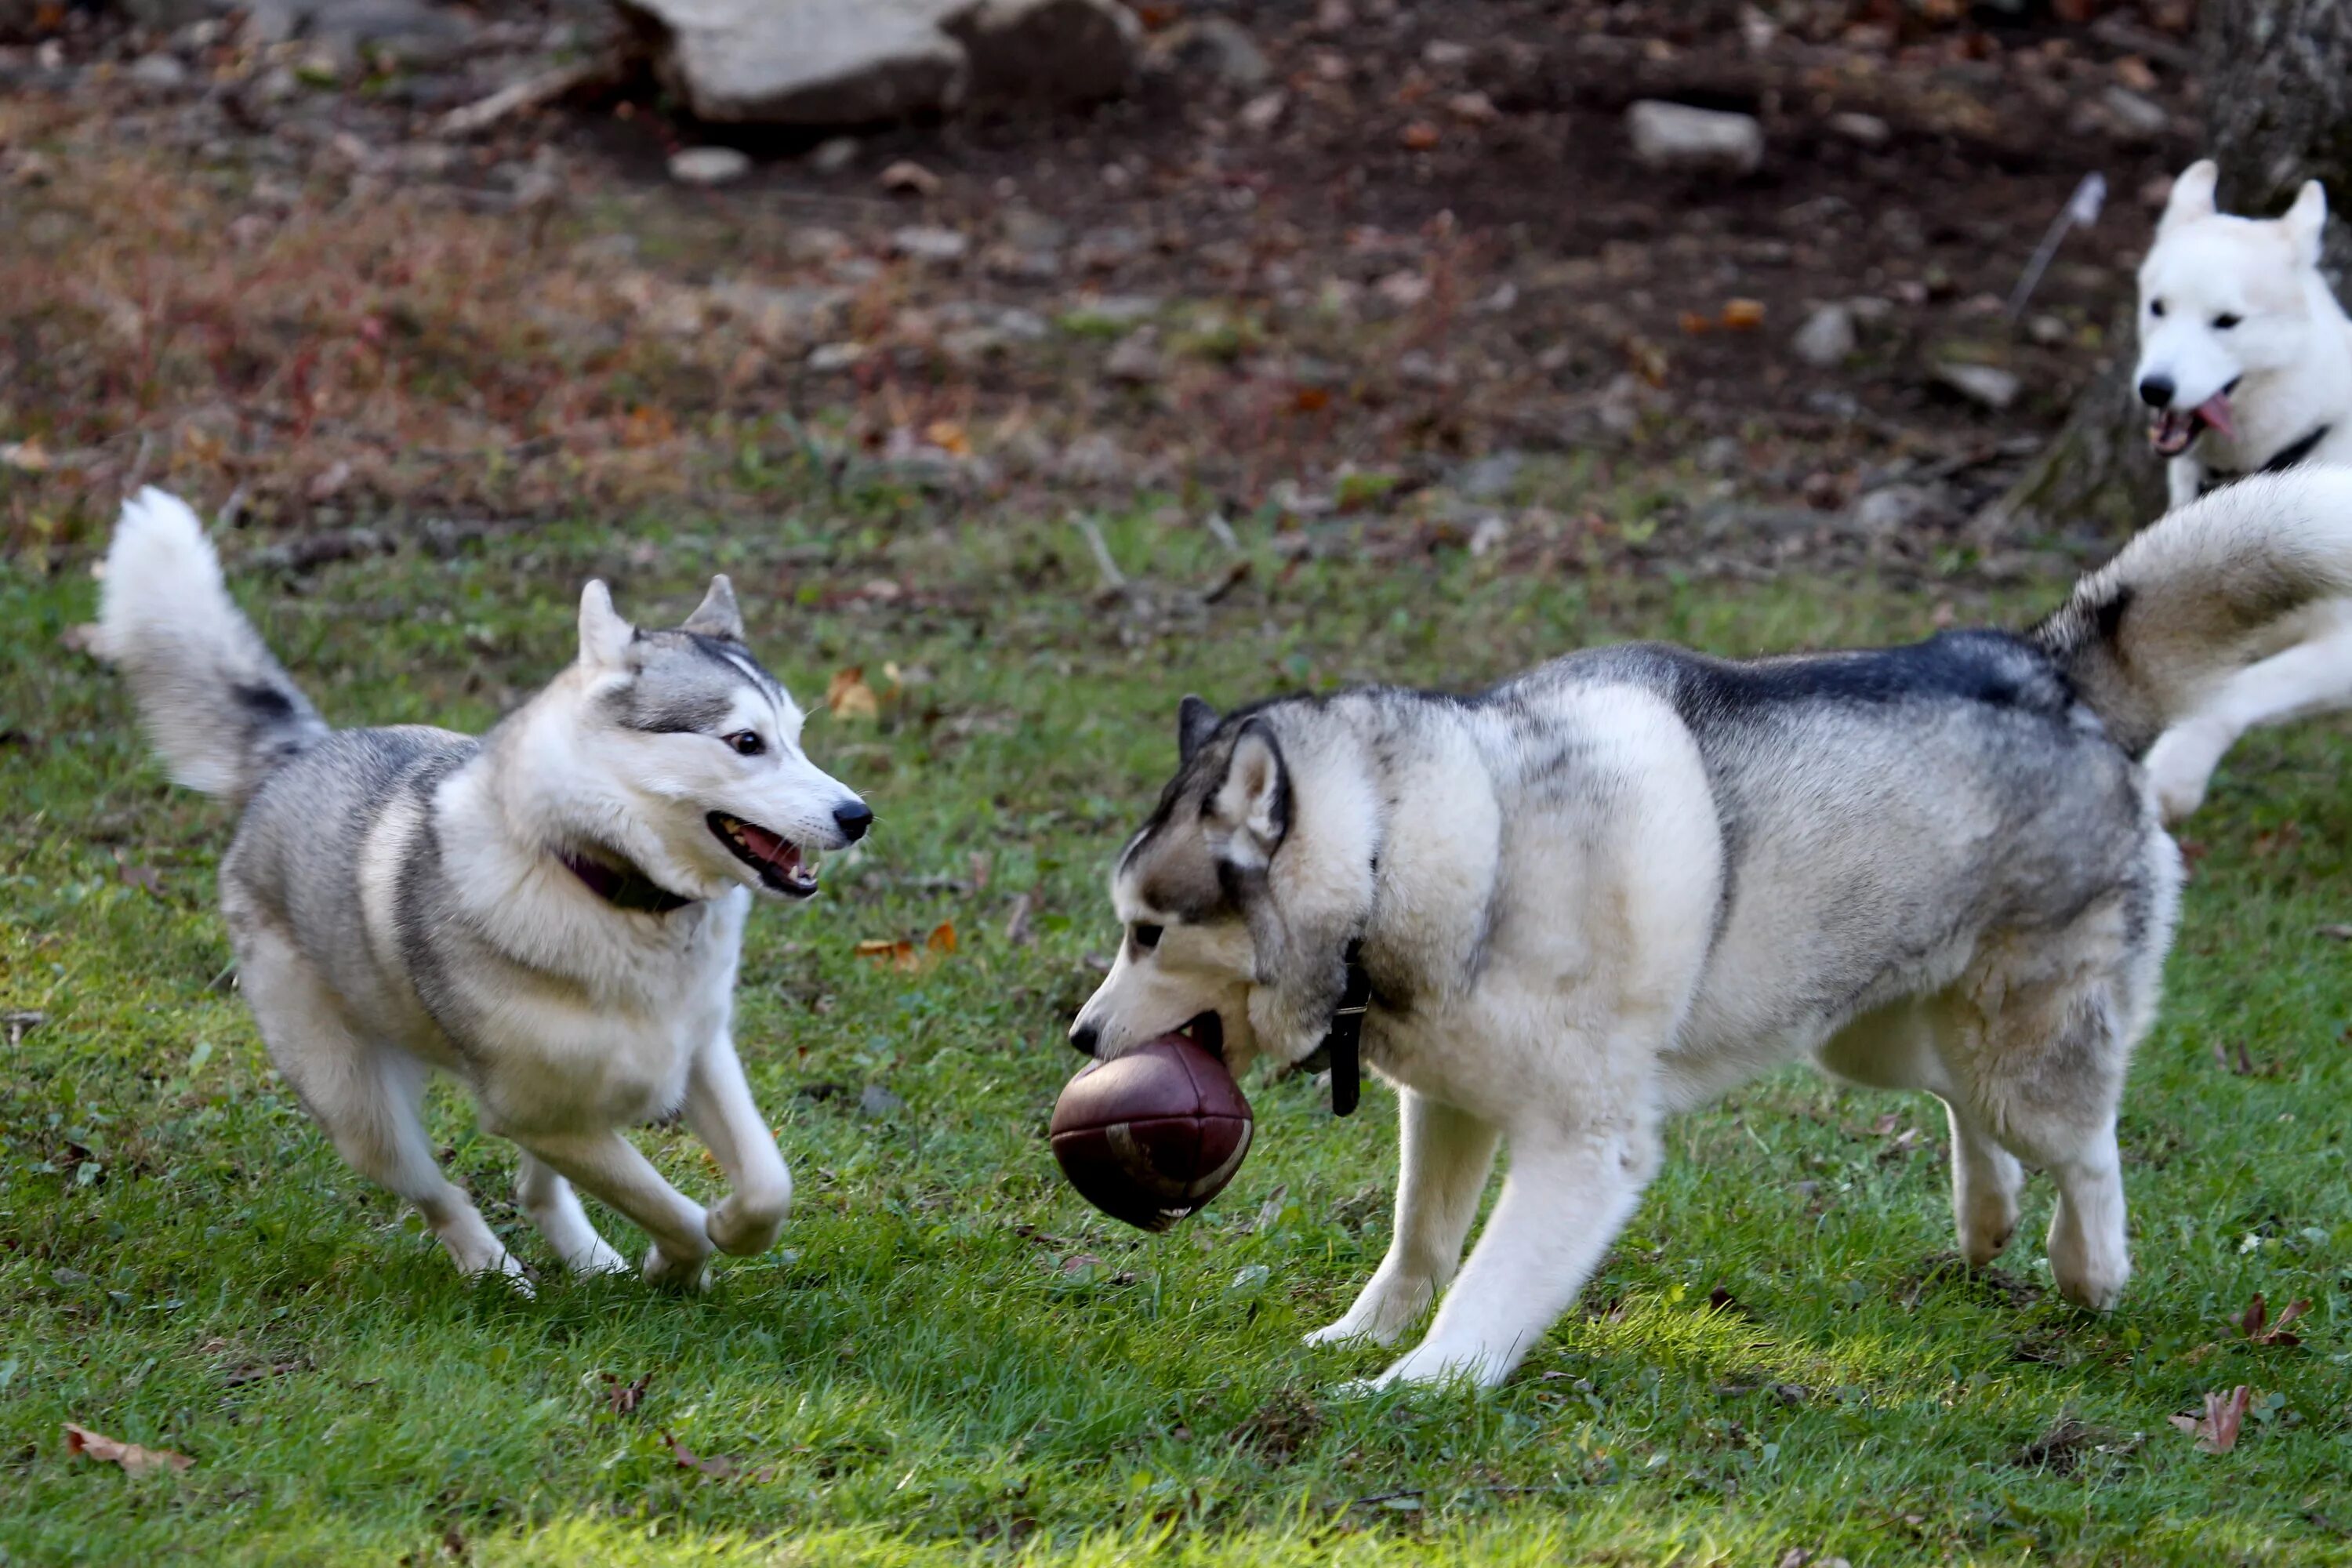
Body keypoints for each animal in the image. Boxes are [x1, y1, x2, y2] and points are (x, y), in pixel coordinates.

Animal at [99, 491, 875, 1288]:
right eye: (746, 743)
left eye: (797, 736)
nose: (859, 816)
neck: (605, 887)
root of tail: (301, 755)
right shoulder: (534, 1115)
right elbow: (667, 1205)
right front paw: (682, 1256)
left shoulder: (699, 1052)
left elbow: (767, 1186)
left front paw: (706, 1245)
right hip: (361, 1110)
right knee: (439, 1193)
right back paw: (492, 1269)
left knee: (535, 1188)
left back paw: (591, 1259)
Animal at [1077, 472, 2352, 1392]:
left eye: (1148, 933)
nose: (1082, 1038)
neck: (1423, 852)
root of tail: (2051, 676)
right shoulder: (1446, 1102)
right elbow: (1420, 1246)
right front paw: (1362, 1337)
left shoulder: (1582, 1149)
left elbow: (1486, 1285)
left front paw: (1418, 1387)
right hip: (1861, 1031)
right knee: (1963, 1105)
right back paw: (1986, 1219)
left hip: (2017, 1046)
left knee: (2084, 1144)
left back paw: (2088, 1269)